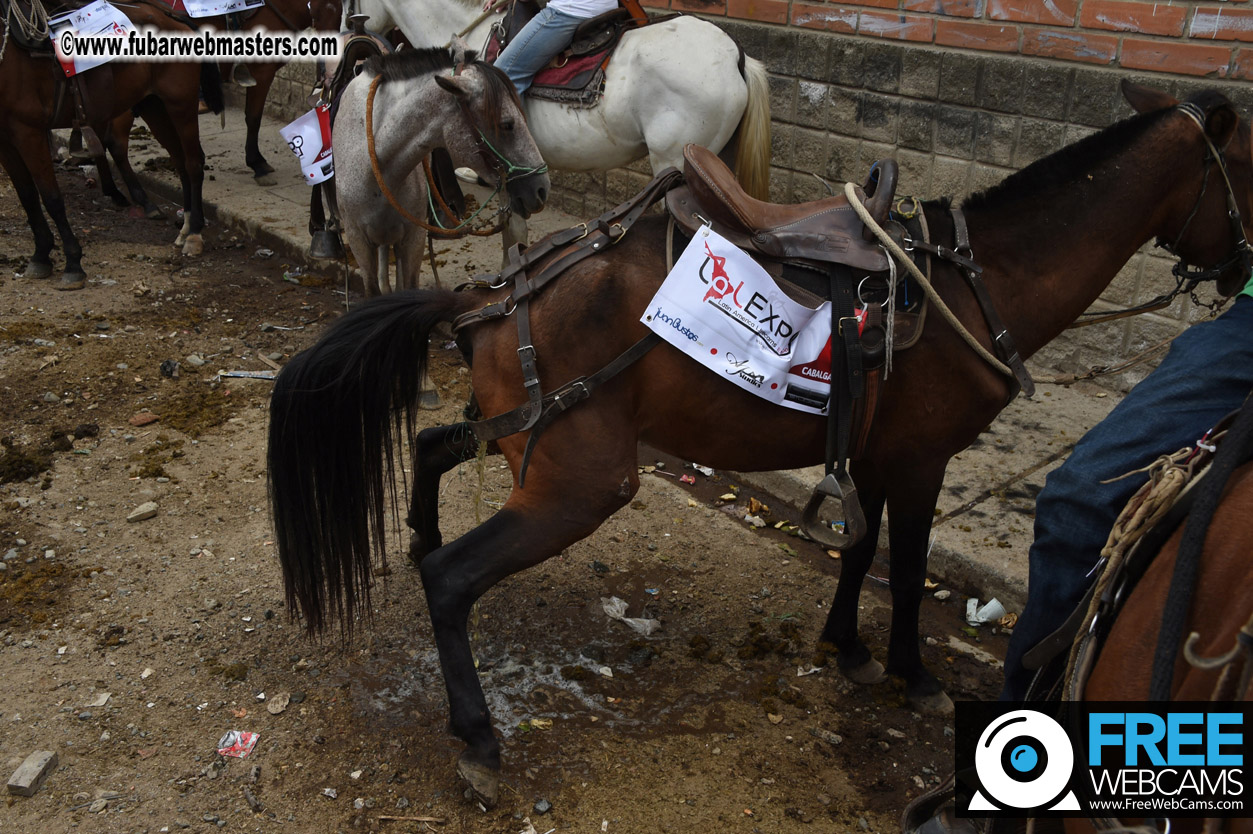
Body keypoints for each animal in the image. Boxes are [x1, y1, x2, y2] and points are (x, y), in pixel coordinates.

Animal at [1, 0, 221, 285]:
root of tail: (174, 18)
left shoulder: (29, 132)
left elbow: (51, 198)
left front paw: (72, 262)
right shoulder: (6, 141)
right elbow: (27, 196)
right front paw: (41, 254)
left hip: (180, 103)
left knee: (193, 163)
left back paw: (194, 233)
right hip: (154, 106)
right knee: (180, 162)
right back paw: (185, 226)